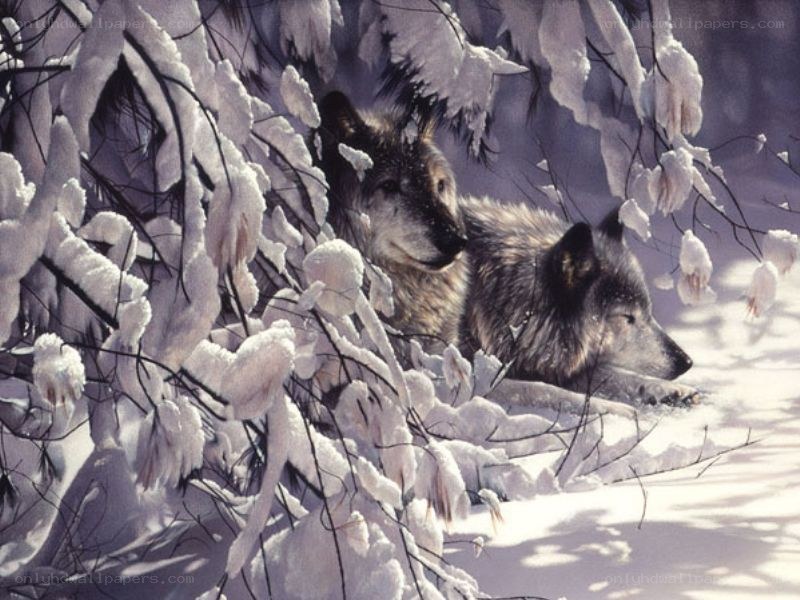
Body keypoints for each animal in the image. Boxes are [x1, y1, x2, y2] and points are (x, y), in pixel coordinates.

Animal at [460, 195, 699, 410]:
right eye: (627, 317)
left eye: (648, 312)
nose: (686, 362)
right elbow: (541, 390)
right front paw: (614, 410)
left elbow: (616, 377)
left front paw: (669, 391)